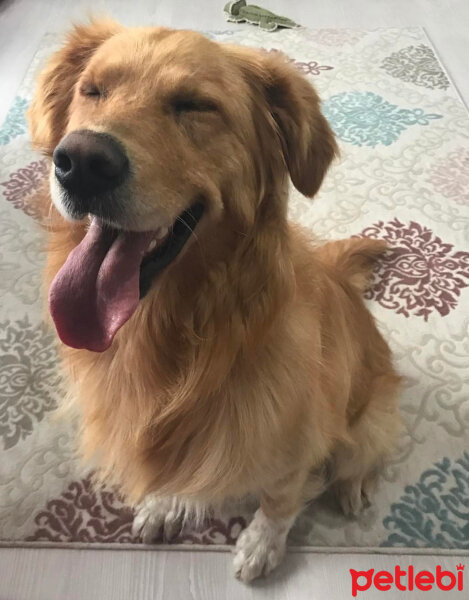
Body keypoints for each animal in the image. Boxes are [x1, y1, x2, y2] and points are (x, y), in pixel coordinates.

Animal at [29, 18, 398, 580]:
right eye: (92, 91)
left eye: (195, 105)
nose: (81, 162)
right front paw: (166, 503)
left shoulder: (296, 439)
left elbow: (280, 501)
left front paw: (260, 546)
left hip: (371, 412)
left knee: (362, 453)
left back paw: (352, 484)